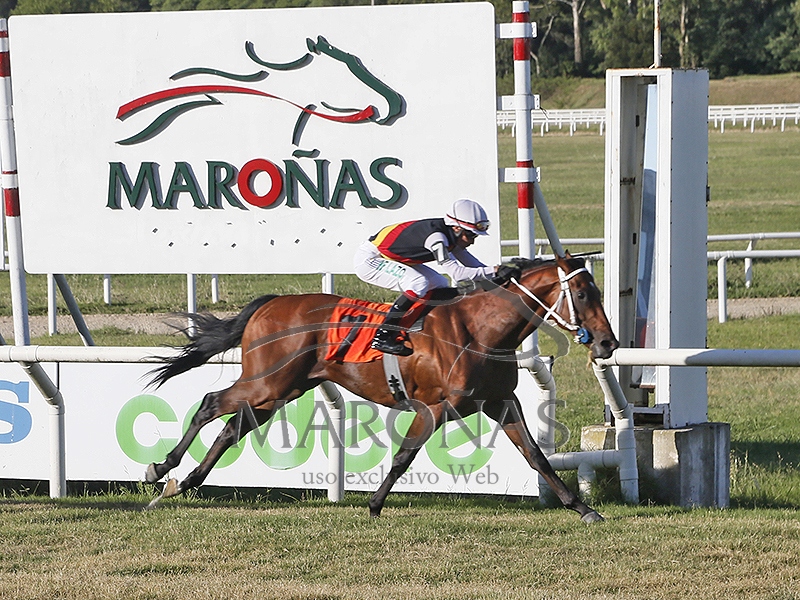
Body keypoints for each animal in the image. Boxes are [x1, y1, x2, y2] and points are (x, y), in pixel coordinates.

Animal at [144, 254, 619, 523]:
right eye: (582, 292)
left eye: (597, 290)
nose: (607, 343)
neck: (482, 330)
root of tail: (270, 303)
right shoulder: (437, 406)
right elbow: (405, 455)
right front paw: (373, 505)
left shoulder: (501, 401)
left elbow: (537, 456)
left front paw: (582, 508)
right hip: (267, 382)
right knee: (211, 404)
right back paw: (162, 470)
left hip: (281, 390)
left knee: (231, 427)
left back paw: (185, 482)